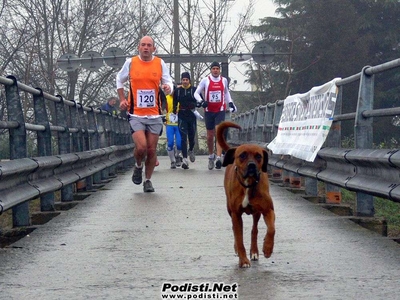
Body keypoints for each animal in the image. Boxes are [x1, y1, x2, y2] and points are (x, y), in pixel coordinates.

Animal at [216, 121, 276, 268]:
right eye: (242, 155)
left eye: (258, 156)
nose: (252, 165)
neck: (248, 184)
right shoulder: (236, 214)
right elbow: (239, 238)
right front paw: (243, 260)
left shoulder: (268, 210)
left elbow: (271, 229)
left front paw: (267, 248)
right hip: (229, 209)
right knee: (235, 230)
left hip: (257, 213)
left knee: (254, 229)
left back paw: (254, 251)